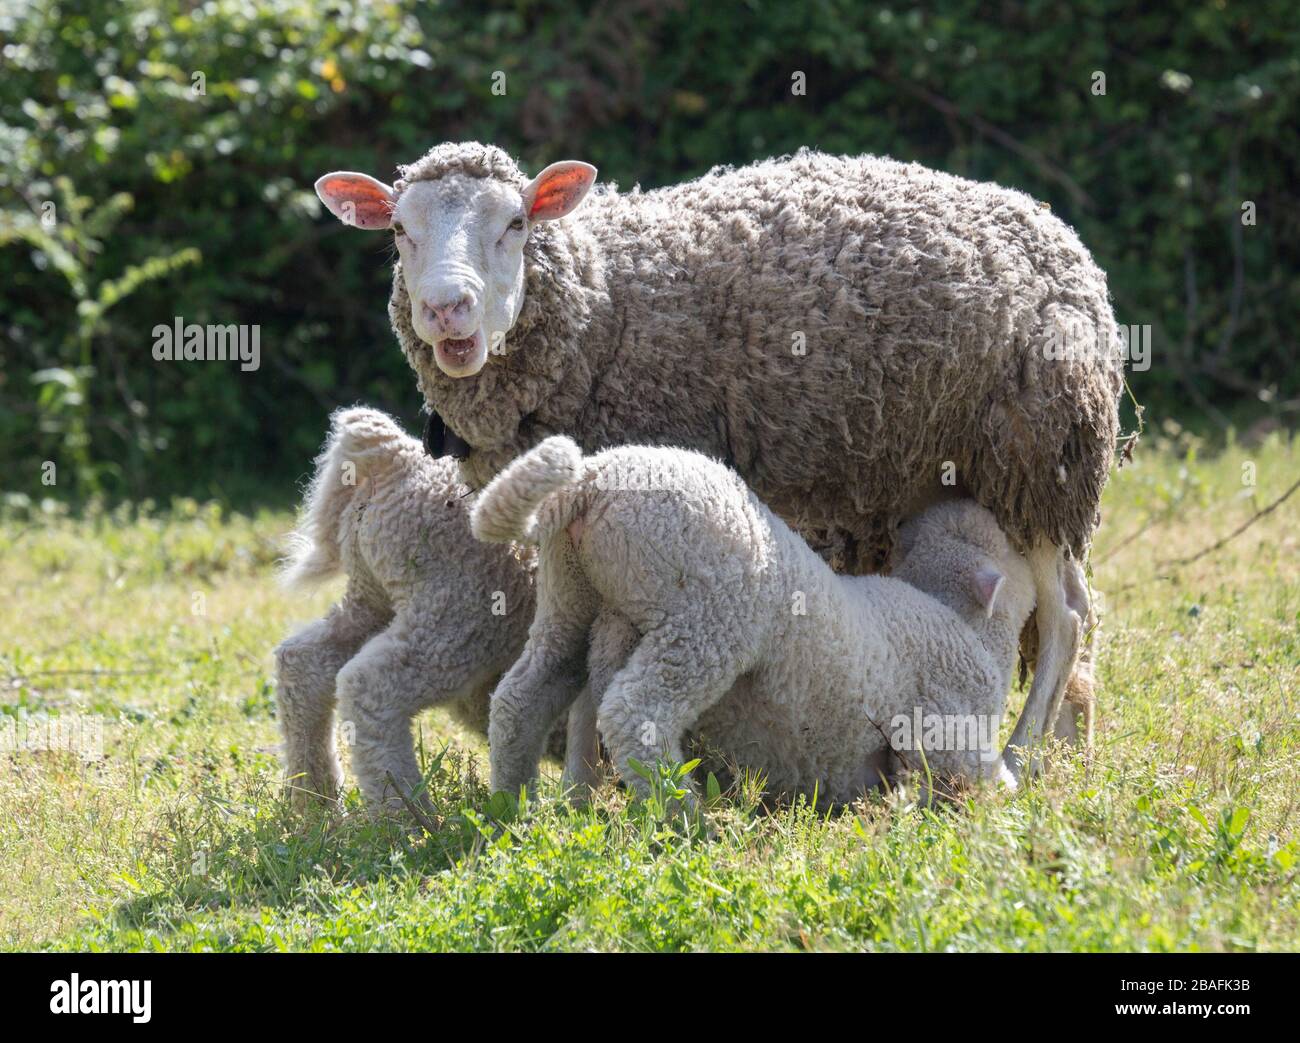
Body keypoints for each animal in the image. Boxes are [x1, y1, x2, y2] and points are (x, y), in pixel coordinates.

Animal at [274, 406, 544, 810]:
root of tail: (399, 458)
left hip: (373, 596)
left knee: (304, 662)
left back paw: (314, 801)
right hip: (457, 614)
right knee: (370, 687)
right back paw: (403, 813)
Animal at [470, 437, 1041, 807]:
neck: (953, 617)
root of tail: (588, 484)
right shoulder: (951, 719)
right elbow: (980, 776)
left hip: (569, 598)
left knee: (522, 697)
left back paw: (510, 810)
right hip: (705, 620)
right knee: (636, 714)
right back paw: (682, 816)